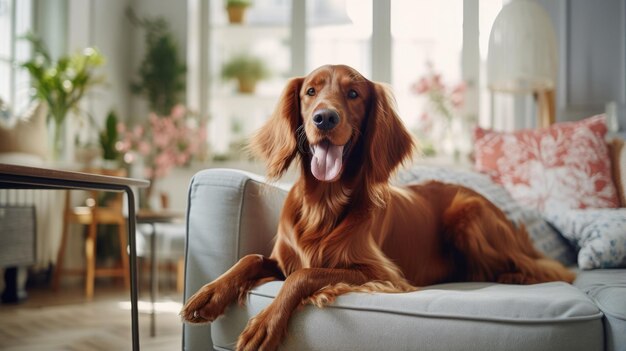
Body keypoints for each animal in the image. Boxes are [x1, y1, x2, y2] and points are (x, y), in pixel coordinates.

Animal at [178, 64, 572, 350]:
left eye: (353, 94)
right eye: (310, 92)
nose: (325, 118)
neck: (323, 204)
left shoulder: (384, 274)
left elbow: (306, 275)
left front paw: (264, 325)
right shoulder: (281, 259)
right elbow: (250, 258)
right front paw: (209, 293)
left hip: (468, 213)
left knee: (549, 270)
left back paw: (515, 275)